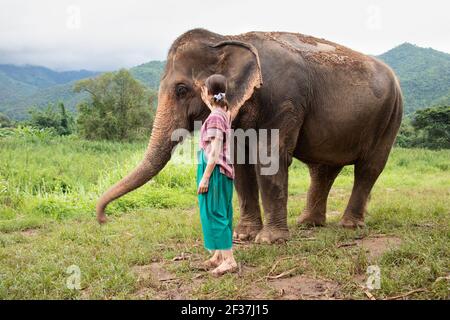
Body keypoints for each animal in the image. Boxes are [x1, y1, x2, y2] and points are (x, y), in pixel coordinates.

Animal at [96, 28, 404, 244]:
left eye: (181, 90)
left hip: (391, 116)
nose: (102, 219)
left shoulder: (284, 98)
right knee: (322, 170)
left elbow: (270, 158)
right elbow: (240, 161)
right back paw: (308, 223)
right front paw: (243, 236)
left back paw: (349, 226)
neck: (229, 38)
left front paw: (269, 240)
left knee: (369, 168)